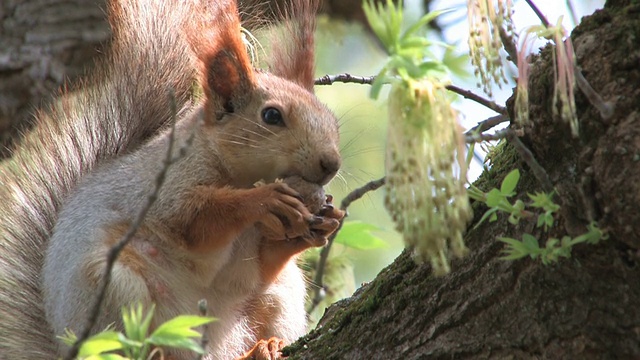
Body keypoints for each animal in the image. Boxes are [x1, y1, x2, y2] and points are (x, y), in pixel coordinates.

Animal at [0, 0, 344, 360]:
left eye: (332, 120)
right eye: (272, 116)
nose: (331, 163)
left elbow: (262, 265)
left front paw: (322, 222)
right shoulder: (166, 190)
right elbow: (197, 220)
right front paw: (264, 200)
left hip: (280, 295)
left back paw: (265, 346)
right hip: (115, 290)